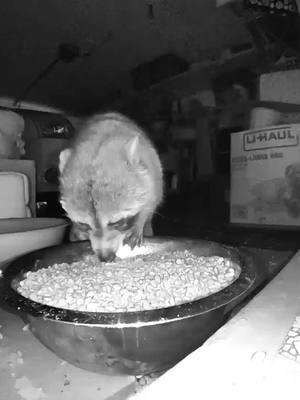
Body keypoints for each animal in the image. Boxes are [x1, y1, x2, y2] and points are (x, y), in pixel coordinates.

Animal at [59, 112, 164, 262]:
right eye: (84, 224)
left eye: (117, 222)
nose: (105, 258)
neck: (99, 142)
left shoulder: (151, 171)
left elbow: (151, 200)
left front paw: (139, 222)